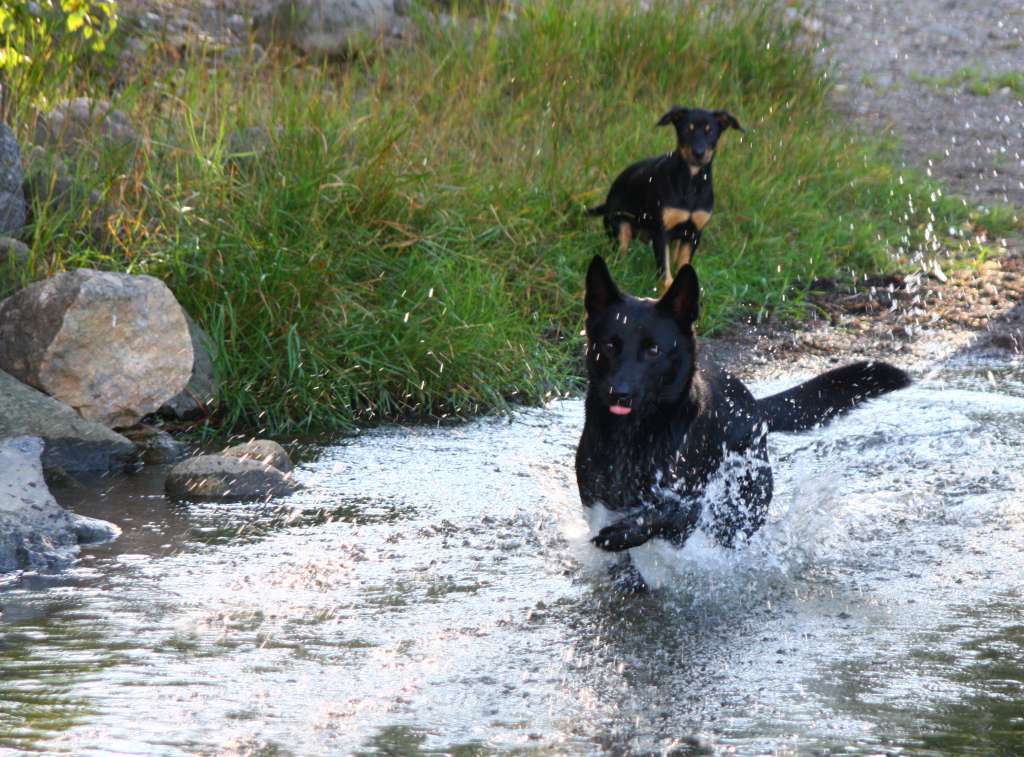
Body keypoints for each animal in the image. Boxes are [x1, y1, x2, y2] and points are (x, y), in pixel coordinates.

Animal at [575, 255, 910, 589]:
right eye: (610, 346)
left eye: (653, 349)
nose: (619, 393)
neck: (637, 434)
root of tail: (755, 408)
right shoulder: (596, 499)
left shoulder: (692, 504)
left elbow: (668, 512)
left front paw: (625, 533)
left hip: (744, 500)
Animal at [587, 106, 742, 291]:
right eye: (687, 129)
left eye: (710, 131)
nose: (699, 153)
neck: (691, 182)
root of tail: (608, 199)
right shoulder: (661, 233)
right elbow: (665, 275)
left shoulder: (694, 233)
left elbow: (683, 265)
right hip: (620, 228)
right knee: (620, 257)